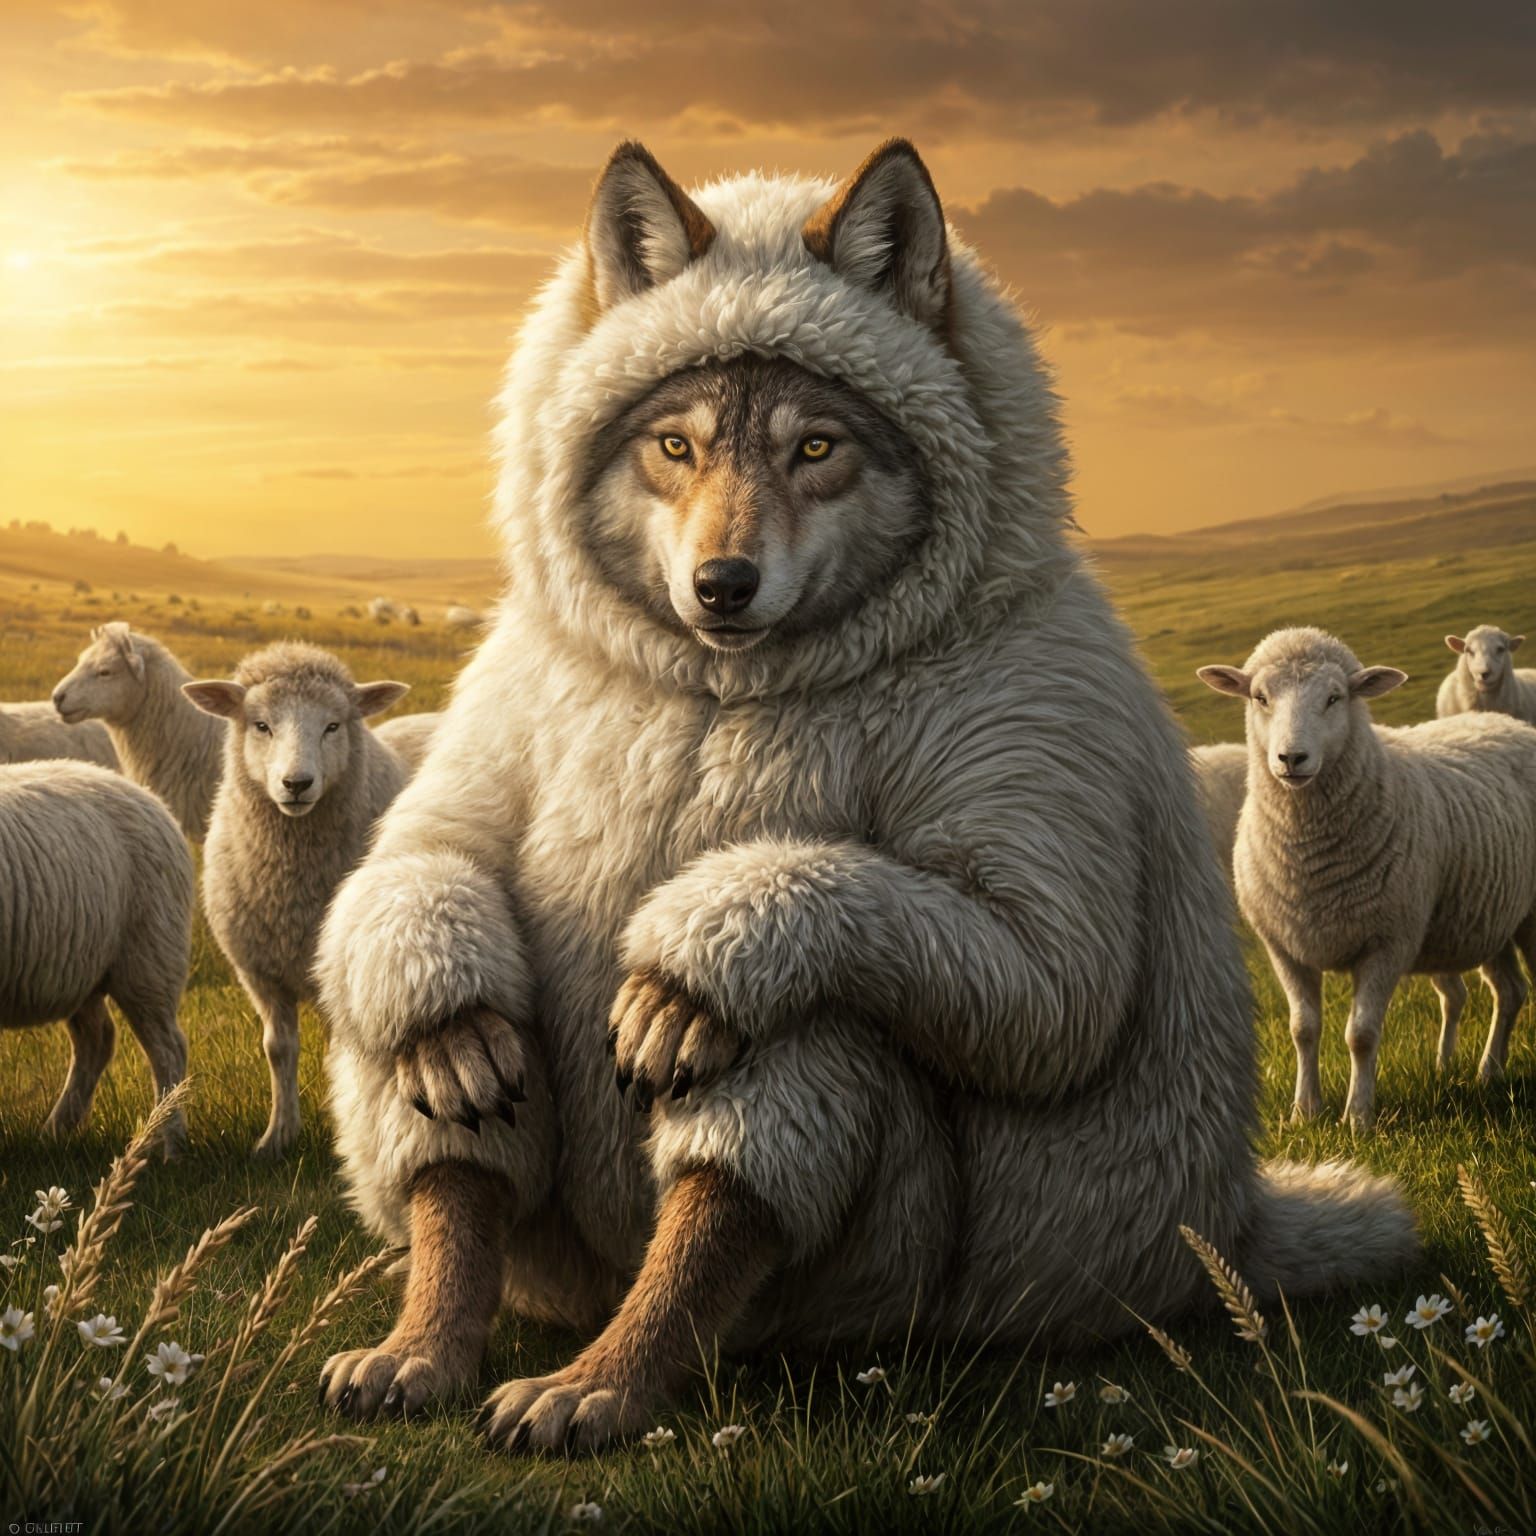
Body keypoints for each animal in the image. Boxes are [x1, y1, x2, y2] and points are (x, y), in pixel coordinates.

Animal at [0, 761, 192, 1145]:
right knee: (97, 1040)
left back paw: (168, 1141)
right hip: (82, 974)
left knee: (168, 1049)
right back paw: (55, 1130)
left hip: (149, 960)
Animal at [186, 643, 409, 1158]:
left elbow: (340, 1052)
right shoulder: (258, 971)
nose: (297, 784)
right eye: (260, 725)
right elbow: (278, 1049)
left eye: (333, 725)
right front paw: (278, 1136)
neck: (291, 887)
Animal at [313, 140, 1418, 1449]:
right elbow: (421, 864)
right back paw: (421, 1346)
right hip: (558, 1239)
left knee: (793, 1037)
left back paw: (605, 1377)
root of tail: (1228, 1225)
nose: (722, 584)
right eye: (675, 447)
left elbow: (1052, 992)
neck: (723, 692)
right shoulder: (489, 729)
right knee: (449, 1057)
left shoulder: (1046, 743)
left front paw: (686, 955)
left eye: (817, 448)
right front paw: (448, 1018)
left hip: (926, 1258)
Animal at [1200, 626, 1536, 1127]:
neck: (1310, 857)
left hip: (1526, 918)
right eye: (1260, 697)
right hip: (1487, 916)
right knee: (1509, 992)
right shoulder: (1283, 944)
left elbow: (1361, 1034)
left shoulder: (1387, 941)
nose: (1291, 758)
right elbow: (1302, 1029)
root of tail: (1507, 723)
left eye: (1335, 697)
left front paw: (1358, 1118)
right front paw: (1305, 1112)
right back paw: (1486, 1072)